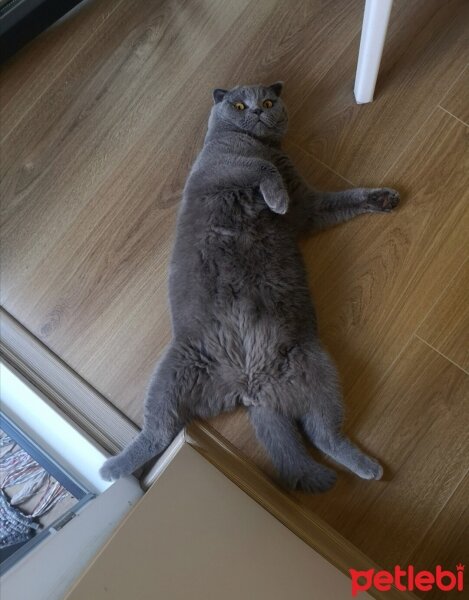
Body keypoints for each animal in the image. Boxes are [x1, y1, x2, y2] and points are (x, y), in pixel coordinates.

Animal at [99, 81, 398, 492]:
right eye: (239, 105)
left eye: (269, 102)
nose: (257, 110)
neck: (257, 142)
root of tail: (251, 390)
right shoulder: (224, 167)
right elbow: (262, 167)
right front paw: (276, 198)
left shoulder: (307, 208)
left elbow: (337, 201)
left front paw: (381, 198)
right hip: (174, 372)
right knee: (158, 431)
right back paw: (112, 469)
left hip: (316, 369)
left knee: (324, 433)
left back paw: (366, 466)